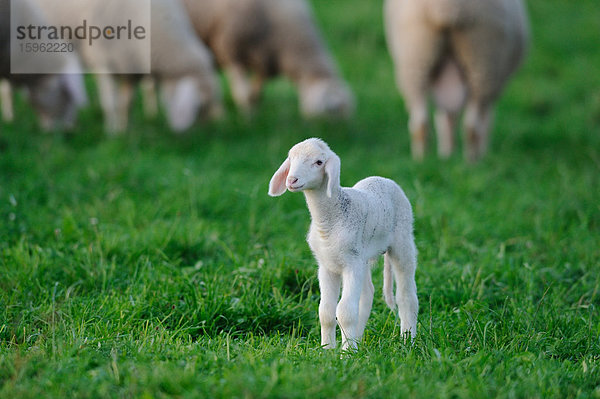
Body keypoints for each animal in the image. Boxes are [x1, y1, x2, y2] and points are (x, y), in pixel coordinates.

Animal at [182, 0, 352, 119]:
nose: (344, 134)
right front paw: (248, 119)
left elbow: (256, 94)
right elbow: (243, 94)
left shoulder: (265, 62)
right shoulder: (231, 50)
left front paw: (254, 112)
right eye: (334, 110)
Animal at [268, 138, 418, 350]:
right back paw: (359, 340)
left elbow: (345, 312)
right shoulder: (327, 266)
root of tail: (384, 179)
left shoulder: (351, 264)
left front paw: (346, 353)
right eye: (291, 159)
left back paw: (407, 340)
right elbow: (326, 312)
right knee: (367, 295)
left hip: (402, 241)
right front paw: (326, 350)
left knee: (406, 296)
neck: (330, 219)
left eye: (319, 162)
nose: (291, 180)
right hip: (363, 258)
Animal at [384, 0, 528, 161]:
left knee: (420, 123)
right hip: (482, 59)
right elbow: (486, 122)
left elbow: (445, 121)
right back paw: (472, 161)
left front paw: (447, 154)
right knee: (472, 126)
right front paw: (480, 152)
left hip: (415, 58)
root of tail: (447, 6)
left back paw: (421, 160)